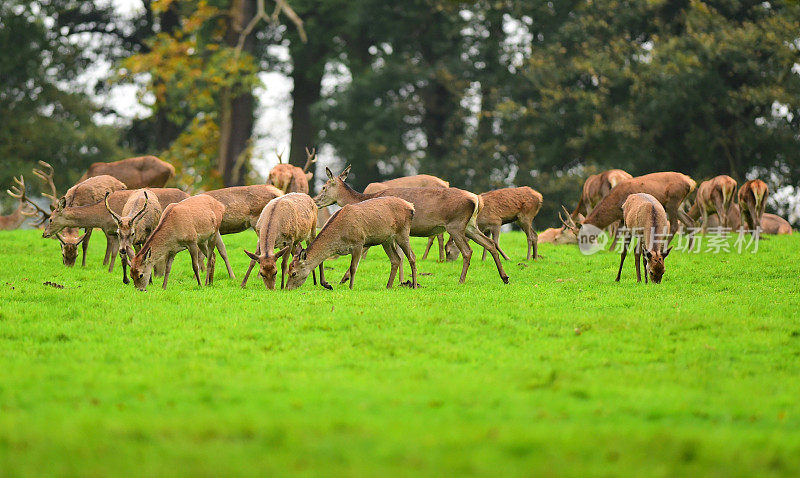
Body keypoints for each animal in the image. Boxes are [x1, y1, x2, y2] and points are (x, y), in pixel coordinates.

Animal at [45, 188, 191, 272]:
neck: (101, 217)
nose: (45, 233)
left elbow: (114, 252)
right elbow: (116, 252)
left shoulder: (113, 231)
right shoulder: (114, 233)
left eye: (50, 219)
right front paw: (110, 270)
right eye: (63, 255)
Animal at [284, 196, 418, 290]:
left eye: (294, 273)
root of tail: (411, 207)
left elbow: (353, 267)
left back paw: (414, 285)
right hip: (386, 240)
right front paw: (328, 285)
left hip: (403, 232)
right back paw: (388, 286)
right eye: (288, 271)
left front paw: (351, 287)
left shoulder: (358, 242)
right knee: (395, 259)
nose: (287, 288)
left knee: (412, 256)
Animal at [316, 166, 510, 284]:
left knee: (468, 251)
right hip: (470, 225)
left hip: (455, 224)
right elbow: (401, 256)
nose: (316, 201)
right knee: (490, 243)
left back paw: (461, 280)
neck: (367, 198)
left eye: (324, 186)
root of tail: (476, 199)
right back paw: (505, 277)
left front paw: (343, 279)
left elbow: (379, 251)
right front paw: (403, 281)